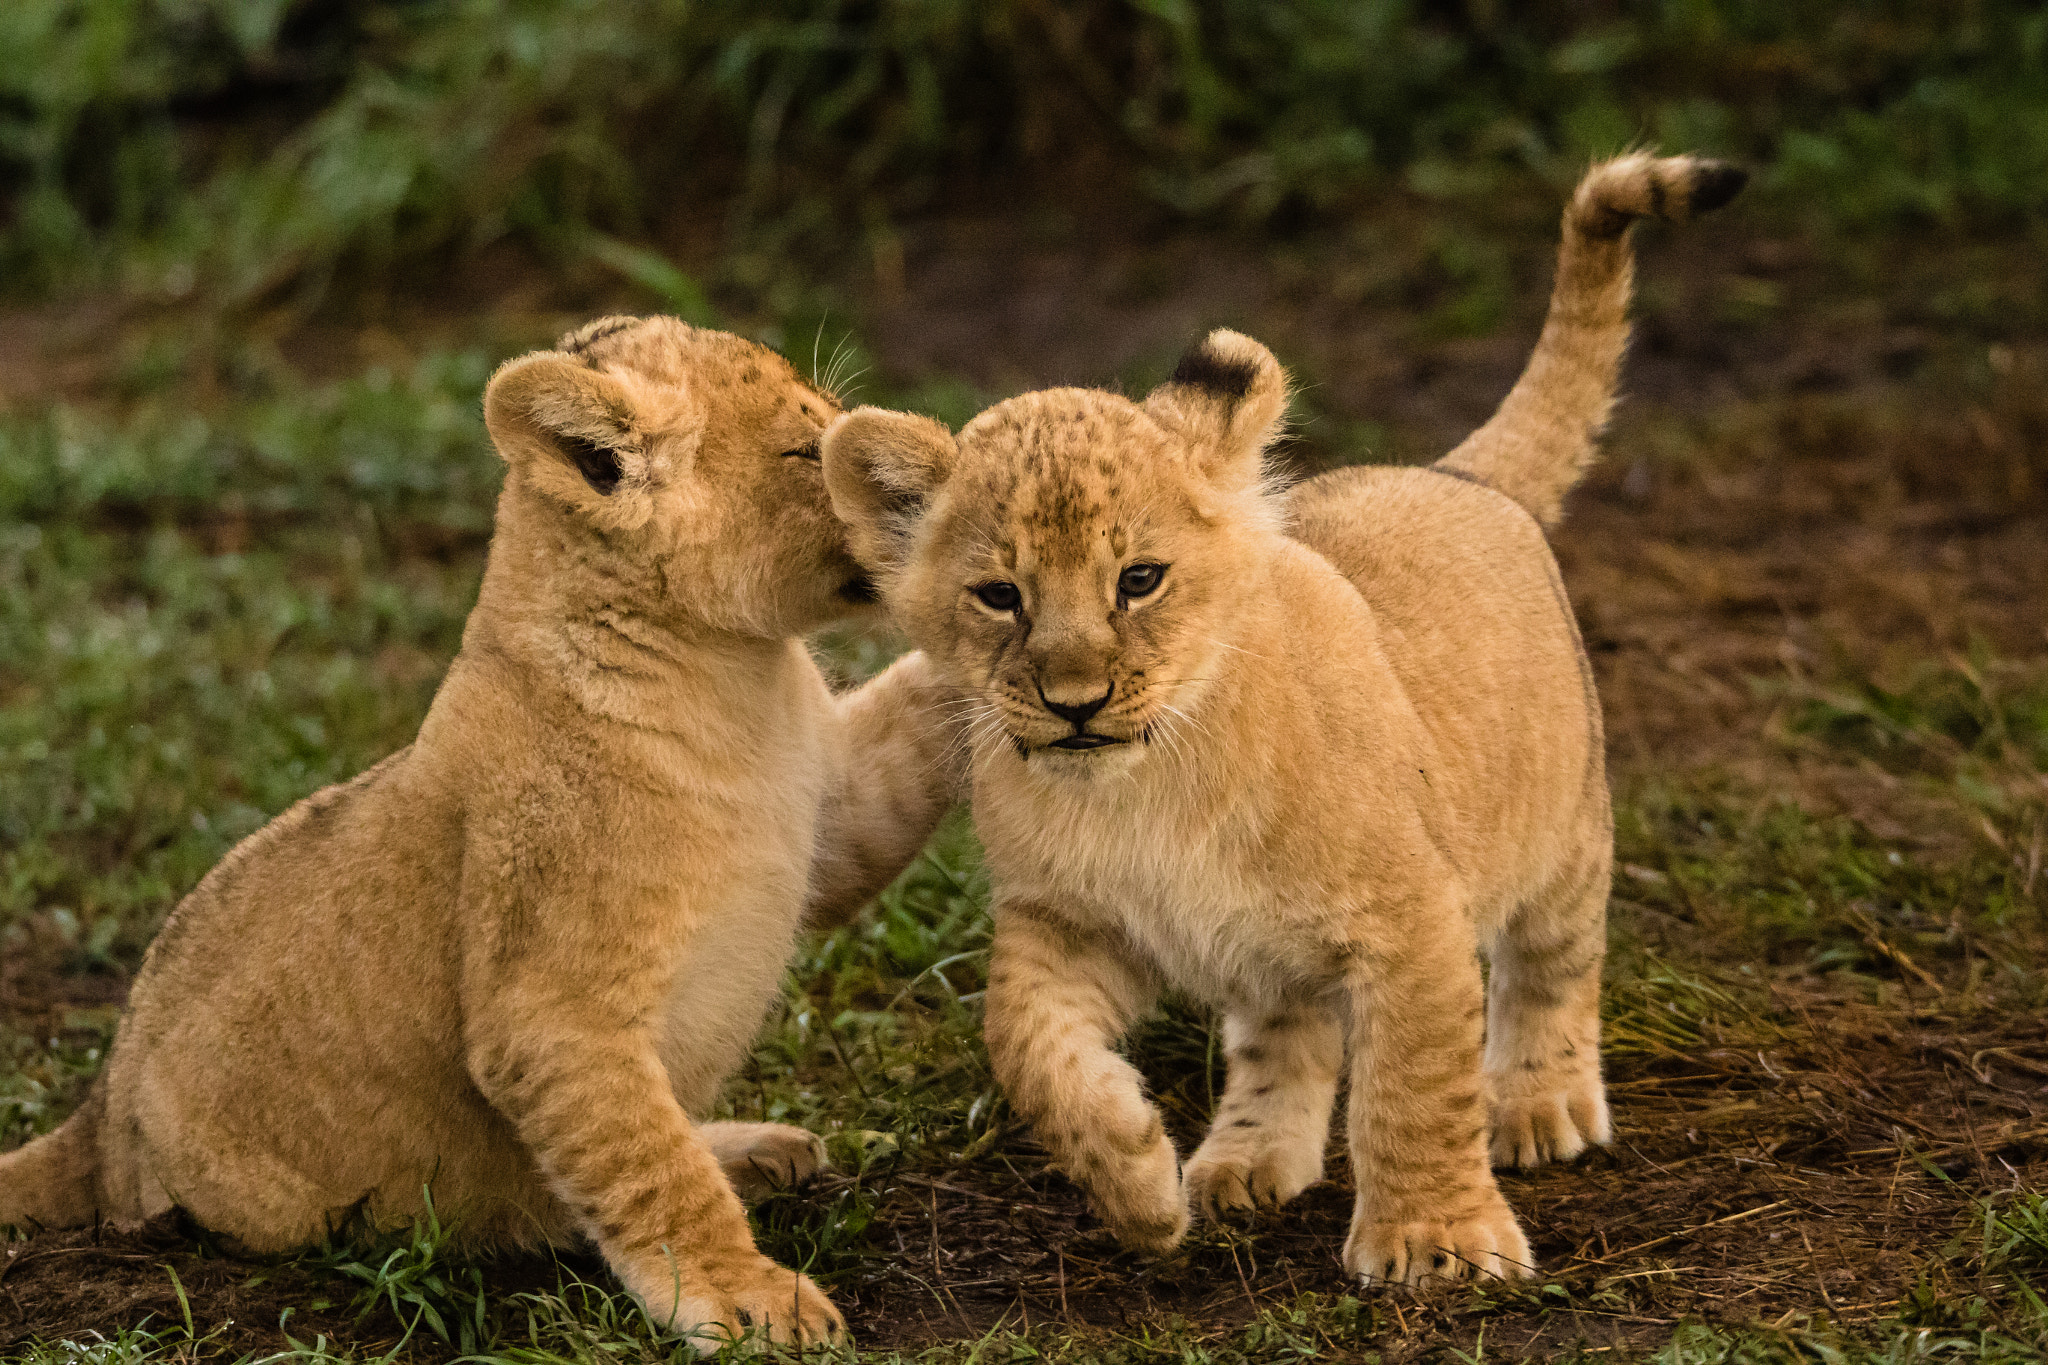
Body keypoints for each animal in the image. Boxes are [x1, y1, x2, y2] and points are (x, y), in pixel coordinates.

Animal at [0, 316, 967, 1344]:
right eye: (802, 452)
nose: (909, 508)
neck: (740, 674)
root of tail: (95, 1117)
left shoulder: (837, 806)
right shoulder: (552, 1011)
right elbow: (650, 1168)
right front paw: (744, 1296)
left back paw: (761, 1147)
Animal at [819, 154, 1744, 1285]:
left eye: (1139, 579)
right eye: (1000, 596)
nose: (1075, 703)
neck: (1143, 788)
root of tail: (1449, 472)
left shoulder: (1411, 915)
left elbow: (1412, 1086)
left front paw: (1434, 1240)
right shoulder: (1070, 920)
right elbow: (1023, 1040)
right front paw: (1133, 1177)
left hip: (1562, 827)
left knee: (1553, 964)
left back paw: (1536, 1100)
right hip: (1273, 947)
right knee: (1283, 1027)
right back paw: (1246, 1158)